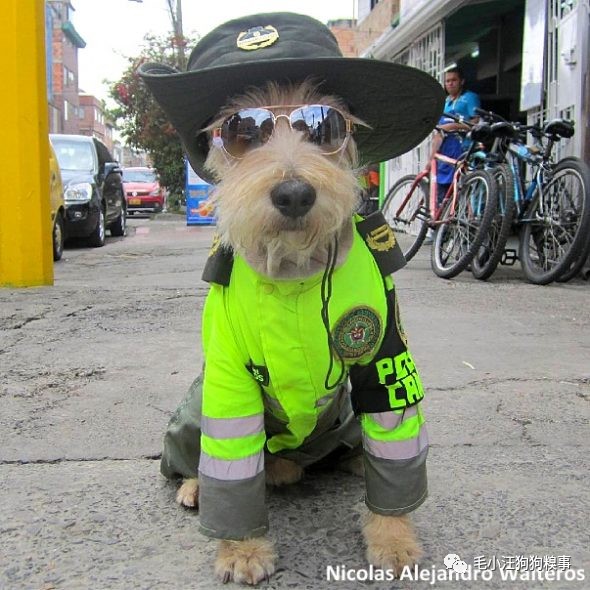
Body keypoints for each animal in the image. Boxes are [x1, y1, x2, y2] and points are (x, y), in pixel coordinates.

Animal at [140, 9, 444, 588]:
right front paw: (241, 549)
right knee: (198, 460)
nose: (295, 194)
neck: (294, 275)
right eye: (241, 129)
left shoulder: (385, 361)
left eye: (326, 125)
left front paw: (393, 539)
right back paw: (197, 484)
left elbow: (394, 448)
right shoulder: (228, 380)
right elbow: (231, 466)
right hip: (195, 405)